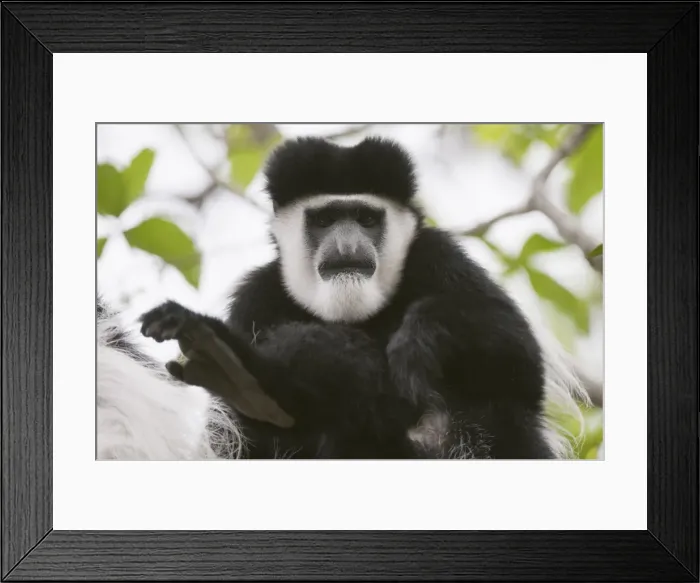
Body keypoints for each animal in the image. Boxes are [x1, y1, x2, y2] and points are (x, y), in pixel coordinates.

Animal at [139, 135, 585, 460]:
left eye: (367, 218)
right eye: (324, 219)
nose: (348, 246)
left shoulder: (440, 257)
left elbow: (521, 365)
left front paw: (420, 336)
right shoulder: (255, 298)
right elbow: (238, 441)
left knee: (501, 413)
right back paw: (243, 372)